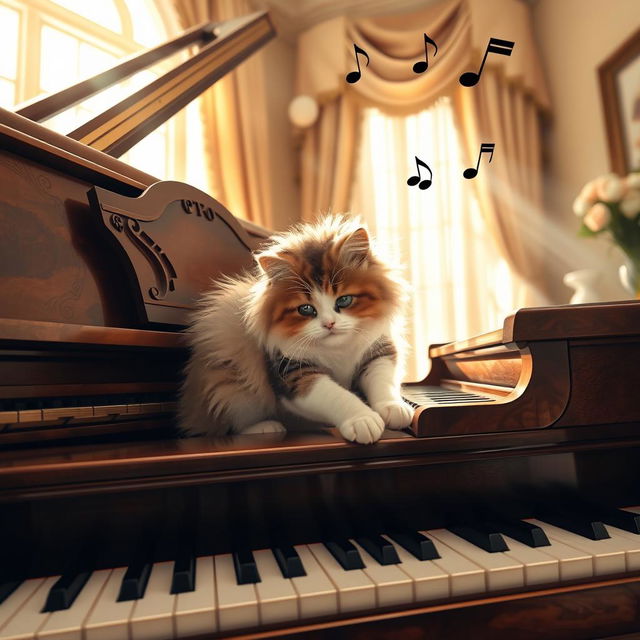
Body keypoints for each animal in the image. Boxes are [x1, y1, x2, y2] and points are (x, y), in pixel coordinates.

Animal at [178, 212, 412, 442]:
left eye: (344, 300)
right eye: (306, 309)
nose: (329, 324)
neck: (338, 350)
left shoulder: (378, 352)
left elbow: (384, 381)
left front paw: (394, 408)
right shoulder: (295, 374)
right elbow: (335, 395)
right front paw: (362, 419)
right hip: (231, 377)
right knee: (233, 423)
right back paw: (266, 427)